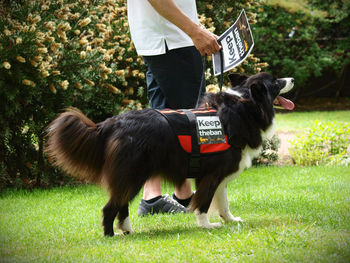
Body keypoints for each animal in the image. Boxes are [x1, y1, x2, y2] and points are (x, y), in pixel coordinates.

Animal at [45, 72, 294, 237]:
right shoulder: (210, 174)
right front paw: (206, 225)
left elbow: (223, 201)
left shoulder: (221, 174)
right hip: (133, 173)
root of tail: (113, 122)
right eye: (275, 82)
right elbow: (204, 201)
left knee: (121, 204)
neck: (246, 104)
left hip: (130, 175)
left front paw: (230, 219)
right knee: (111, 206)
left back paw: (127, 230)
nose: (292, 79)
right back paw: (110, 235)